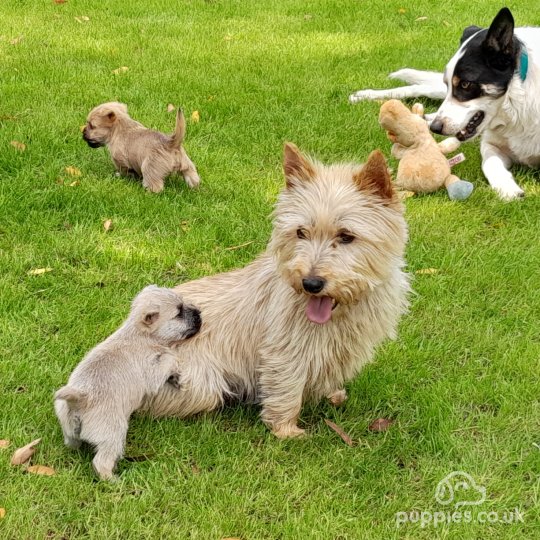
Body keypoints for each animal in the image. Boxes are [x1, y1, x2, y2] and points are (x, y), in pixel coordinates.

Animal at [53, 284, 201, 478]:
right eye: (178, 313)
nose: (199, 313)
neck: (140, 334)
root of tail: (79, 399)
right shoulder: (151, 373)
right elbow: (168, 358)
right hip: (113, 433)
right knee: (101, 461)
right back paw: (114, 479)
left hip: (68, 428)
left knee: (72, 443)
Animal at [141, 144, 412, 438]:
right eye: (301, 232)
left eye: (346, 236)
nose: (310, 283)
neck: (338, 314)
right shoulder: (284, 352)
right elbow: (287, 390)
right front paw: (286, 431)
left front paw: (332, 395)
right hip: (201, 386)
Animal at [348, 7, 536, 201]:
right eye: (449, 83)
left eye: (465, 84)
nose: (436, 128)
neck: (516, 108)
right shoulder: (491, 144)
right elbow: (489, 163)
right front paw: (507, 188)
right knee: (418, 87)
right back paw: (364, 96)